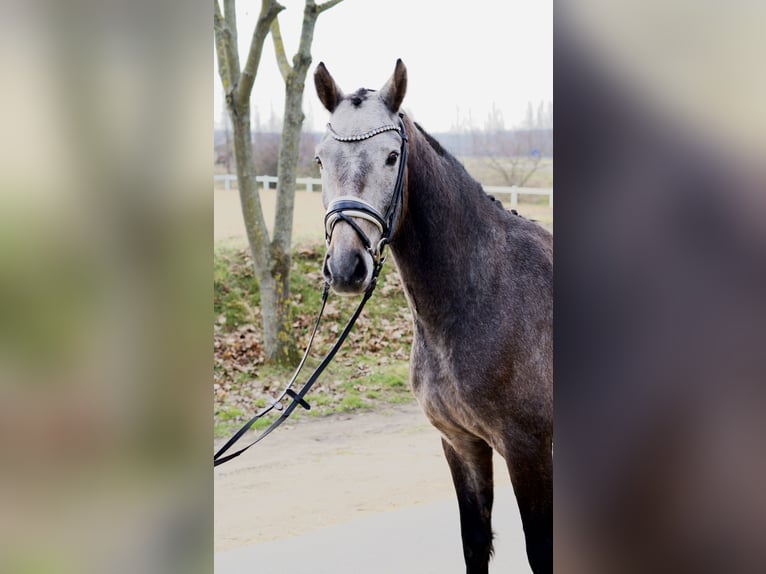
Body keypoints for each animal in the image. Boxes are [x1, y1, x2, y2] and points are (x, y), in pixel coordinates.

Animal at [316, 60, 556, 572]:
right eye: (321, 159)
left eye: (391, 157)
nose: (346, 267)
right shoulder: (460, 444)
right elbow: (474, 542)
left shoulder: (528, 452)